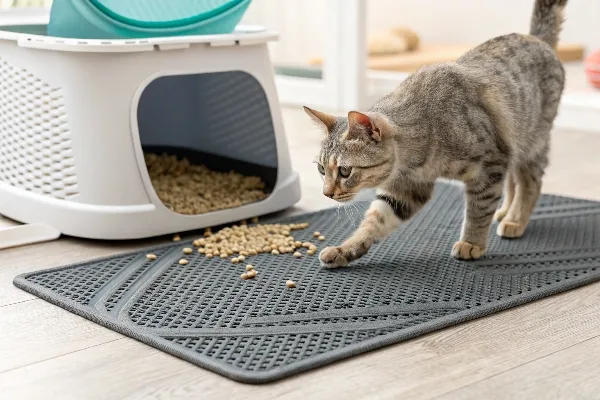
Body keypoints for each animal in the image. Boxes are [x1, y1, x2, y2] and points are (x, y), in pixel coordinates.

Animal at [304, 0, 568, 268]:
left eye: (345, 171)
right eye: (321, 169)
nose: (326, 193)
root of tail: (537, 38)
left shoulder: (490, 164)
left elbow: (479, 209)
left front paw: (472, 243)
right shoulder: (407, 189)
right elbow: (374, 221)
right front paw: (346, 249)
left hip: (532, 143)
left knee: (530, 183)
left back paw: (515, 219)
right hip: (516, 144)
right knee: (514, 180)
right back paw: (505, 212)